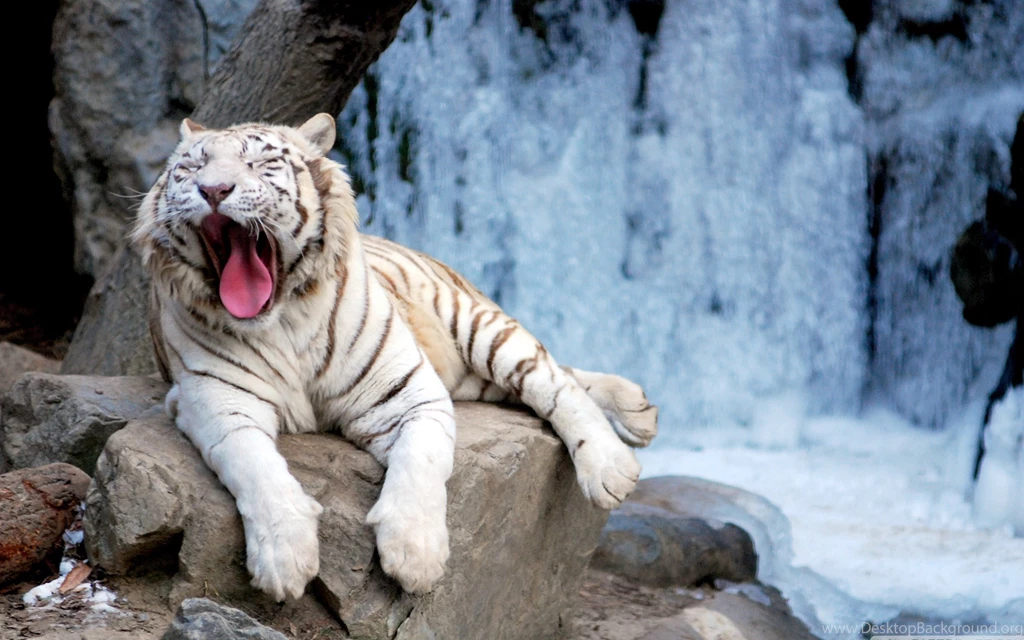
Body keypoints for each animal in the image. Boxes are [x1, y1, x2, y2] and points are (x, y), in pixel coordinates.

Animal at [131, 113, 658, 601]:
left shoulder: (408, 392)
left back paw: (613, 462)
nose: (213, 189)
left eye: (259, 163)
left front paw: (415, 555)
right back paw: (638, 408)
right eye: (191, 167)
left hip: (476, 325)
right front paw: (285, 558)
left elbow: (421, 461)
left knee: (552, 379)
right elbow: (255, 467)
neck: (281, 320)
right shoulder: (216, 401)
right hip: (471, 377)